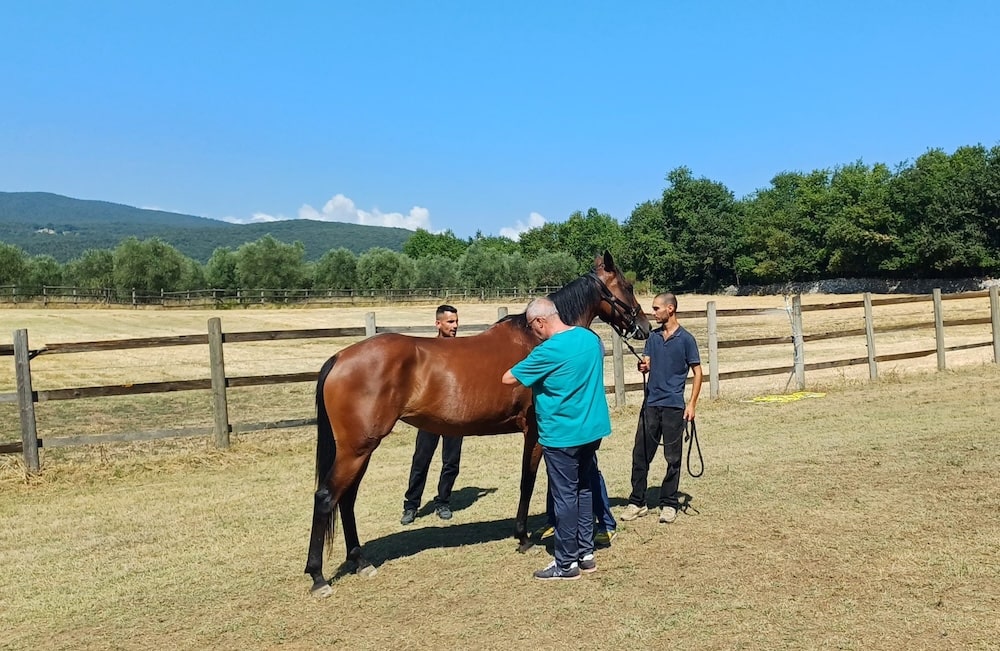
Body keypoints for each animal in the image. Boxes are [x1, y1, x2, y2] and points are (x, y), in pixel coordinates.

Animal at [302, 252, 648, 600]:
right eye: (628, 286)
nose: (644, 327)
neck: (537, 339)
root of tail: (340, 357)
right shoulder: (536, 433)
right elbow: (528, 482)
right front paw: (523, 537)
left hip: (361, 450)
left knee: (346, 499)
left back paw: (360, 562)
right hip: (356, 449)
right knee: (326, 498)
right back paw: (318, 577)